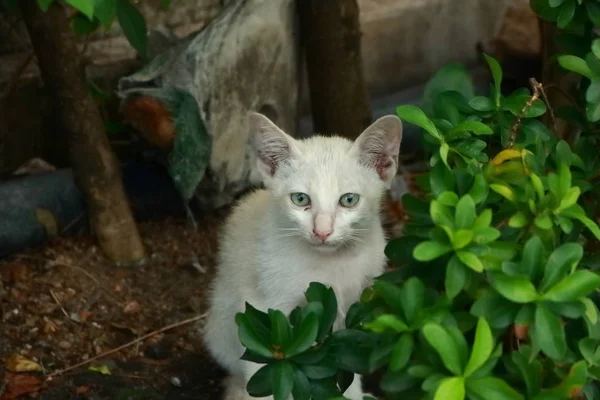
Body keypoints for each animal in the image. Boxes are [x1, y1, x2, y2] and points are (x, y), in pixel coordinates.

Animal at [203, 112, 404, 400]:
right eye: (300, 199)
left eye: (349, 200)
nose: (322, 231)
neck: (330, 265)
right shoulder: (259, 313)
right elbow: (264, 369)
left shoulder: (352, 310)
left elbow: (347, 360)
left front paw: (351, 394)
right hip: (222, 324)